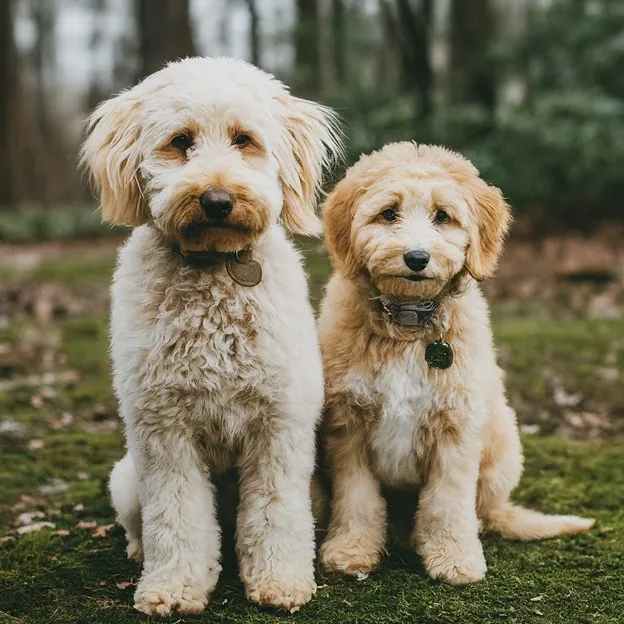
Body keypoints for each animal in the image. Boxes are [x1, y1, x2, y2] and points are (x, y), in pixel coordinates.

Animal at [80, 57, 342, 616]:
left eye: (245, 139)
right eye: (181, 141)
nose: (218, 200)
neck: (216, 270)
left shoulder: (278, 427)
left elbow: (275, 512)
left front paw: (280, 580)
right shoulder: (164, 432)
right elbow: (177, 518)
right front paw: (175, 587)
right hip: (127, 479)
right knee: (142, 524)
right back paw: (139, 553)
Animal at [316, 141, 596, 584]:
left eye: (442, 216)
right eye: (388, 213)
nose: (416, 257)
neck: (409, 322)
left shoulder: (456, 425)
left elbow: (447, 500)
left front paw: (454, 557)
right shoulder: (348, 423)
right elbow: (356, 497)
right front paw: (351, 549)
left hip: (502, 443)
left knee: (484, 511)